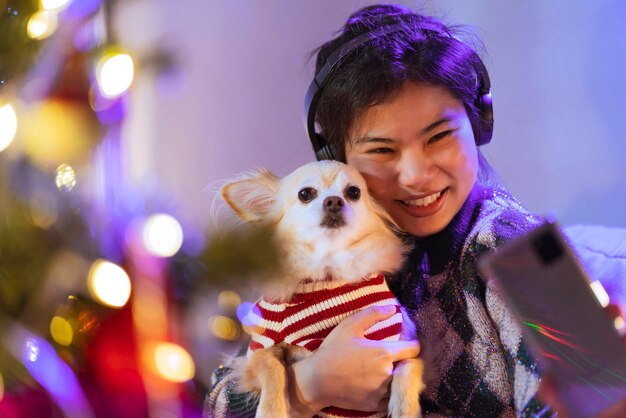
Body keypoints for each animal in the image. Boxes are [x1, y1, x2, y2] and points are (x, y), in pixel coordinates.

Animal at [221, 160, 424, 418]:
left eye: (354, 192)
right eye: (305, 194)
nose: (334, 201)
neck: (327, 268)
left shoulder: (400, 337)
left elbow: (409, 365)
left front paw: (406, 407)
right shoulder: (258, 348)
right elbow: (272, 370)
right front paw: (271, 411)